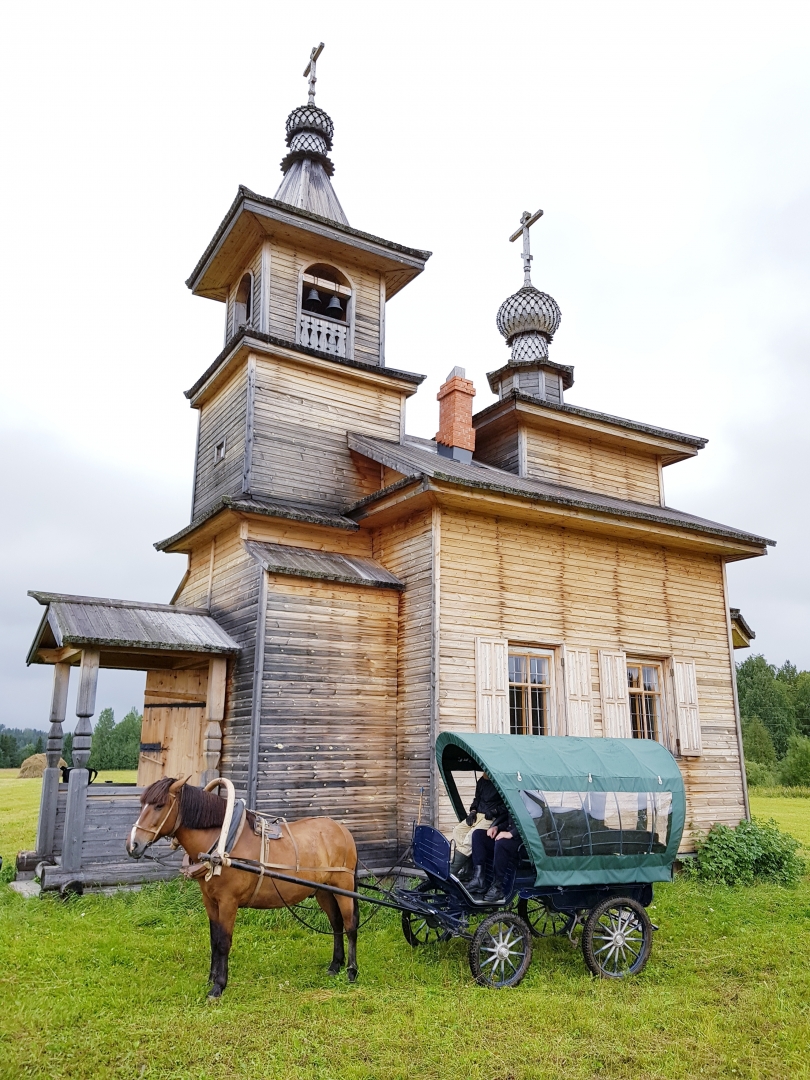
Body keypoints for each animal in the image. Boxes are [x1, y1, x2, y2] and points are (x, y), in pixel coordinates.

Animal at [126, 777, 358, 993]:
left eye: (159, 805)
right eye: (142, 803)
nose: (133, 845)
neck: (223, 843)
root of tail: (342, 830)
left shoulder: (229, 902)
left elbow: (223, 942)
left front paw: (218, 987)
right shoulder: (210, 901)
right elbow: (214, 939)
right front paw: (211, 979)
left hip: (344, 886)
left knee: (349, 925)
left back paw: (352, 971)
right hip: (324, 890)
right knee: (336, 924)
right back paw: (334, 966)